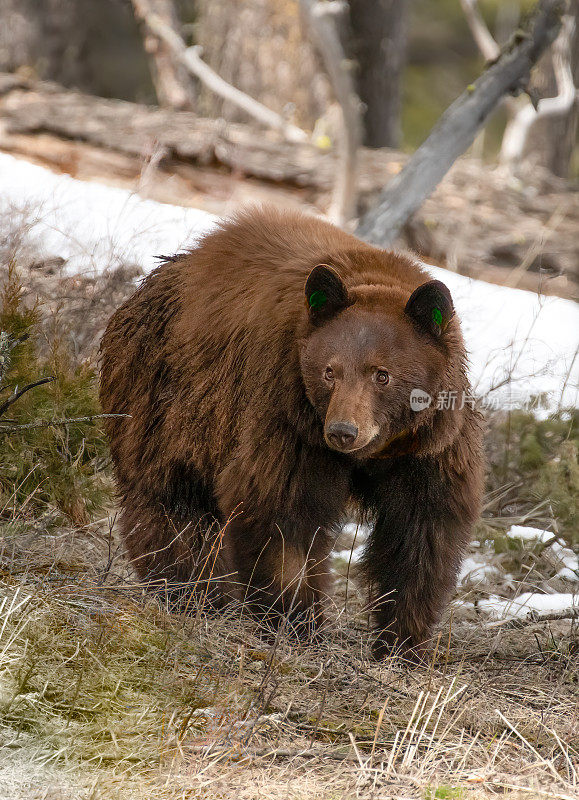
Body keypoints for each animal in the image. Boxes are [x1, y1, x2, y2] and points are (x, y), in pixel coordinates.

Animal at [101, 206, 484, 656]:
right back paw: (192, 591)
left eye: (382, 374)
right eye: (329, 371)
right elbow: (280, 509)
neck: (372, 454)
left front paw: (403, 641)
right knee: (169, 500)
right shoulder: (289, 420)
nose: (343, 431)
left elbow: (421, 532)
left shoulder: (427, 448)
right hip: (166, 402)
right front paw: (295, 620)